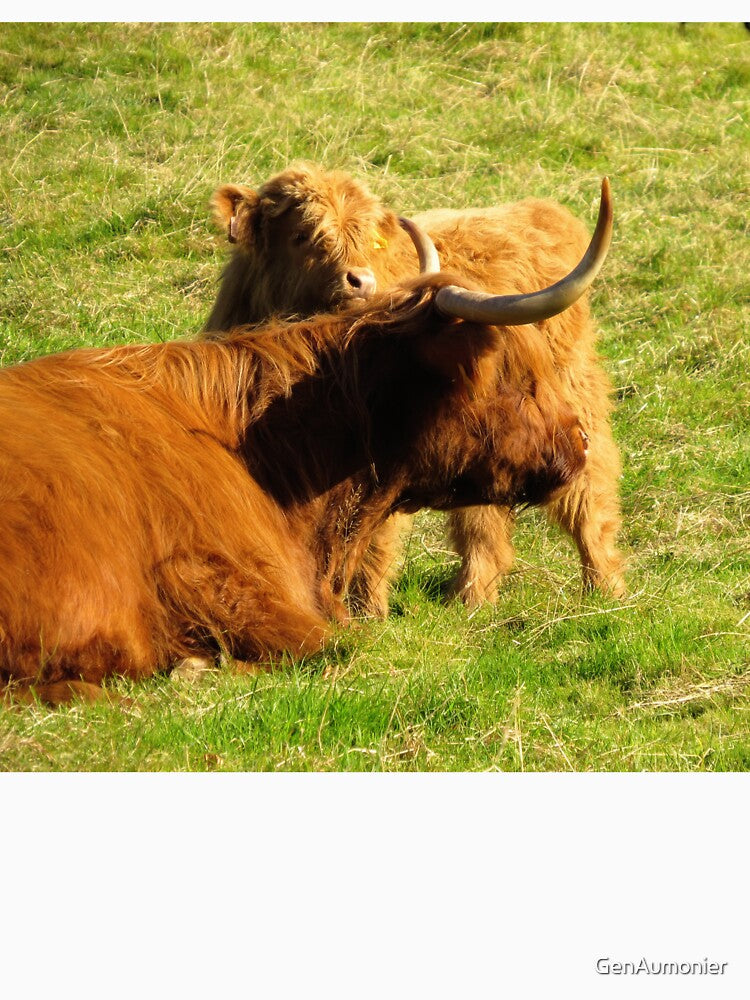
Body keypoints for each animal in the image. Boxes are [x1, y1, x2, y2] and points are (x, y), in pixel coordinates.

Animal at [205, 164, 626, 612]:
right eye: (303, 235)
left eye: (368, 240)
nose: (361, 281)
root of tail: (541, 213)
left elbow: (368, 538)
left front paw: (367, 612)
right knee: (484, 515)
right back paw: (472, 598)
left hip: (567, 401)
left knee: (589, 491)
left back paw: (606, 589)